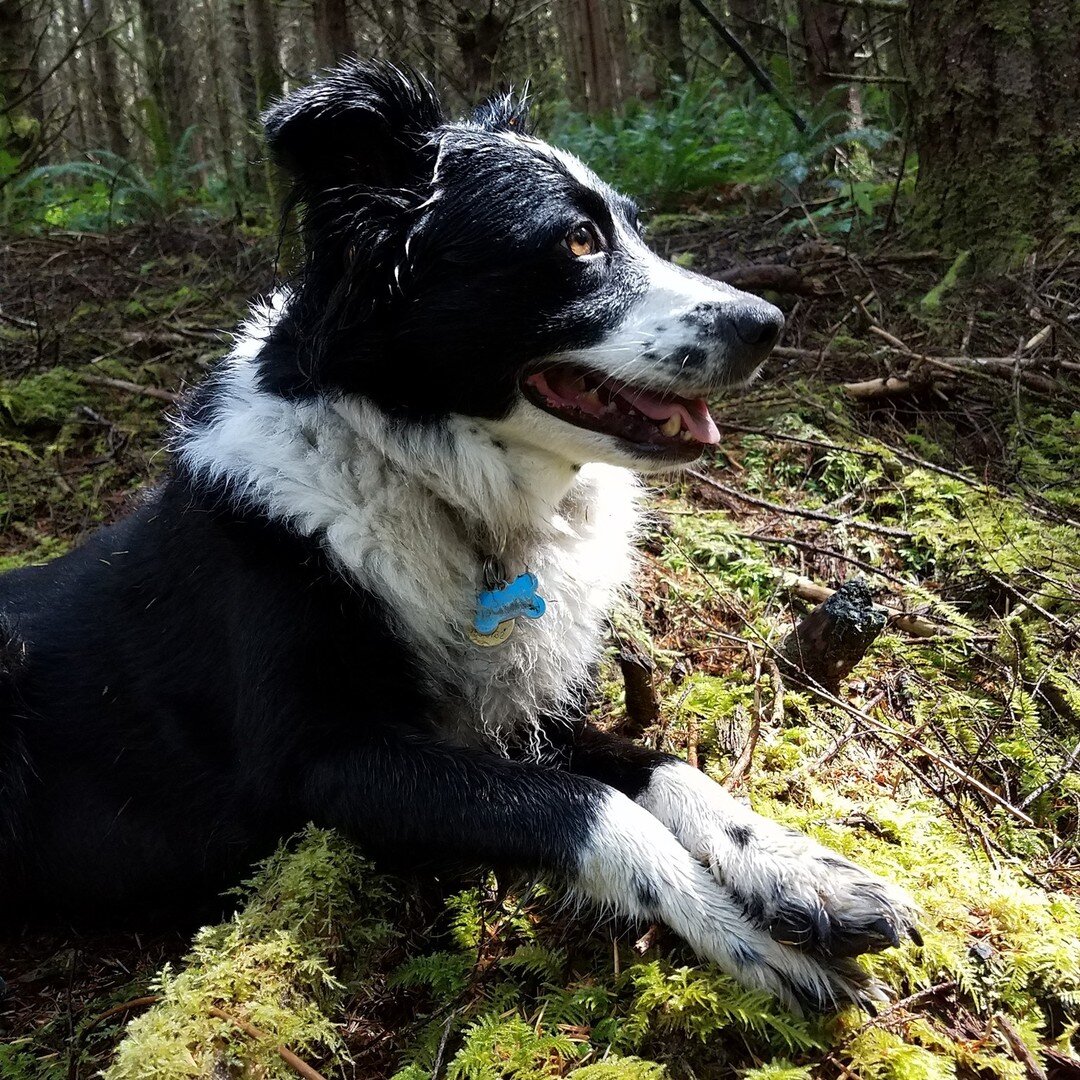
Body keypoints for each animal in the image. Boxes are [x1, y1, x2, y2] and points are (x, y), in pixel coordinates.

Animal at [0, 63, 920, 1010]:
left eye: (635, 227)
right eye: (578, 241)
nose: (769, 323)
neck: (445, 491)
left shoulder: (520, 716)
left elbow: (660, 766)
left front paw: (794, 864)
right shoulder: (319, 765)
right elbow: (590, 808)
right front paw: (742, 935)